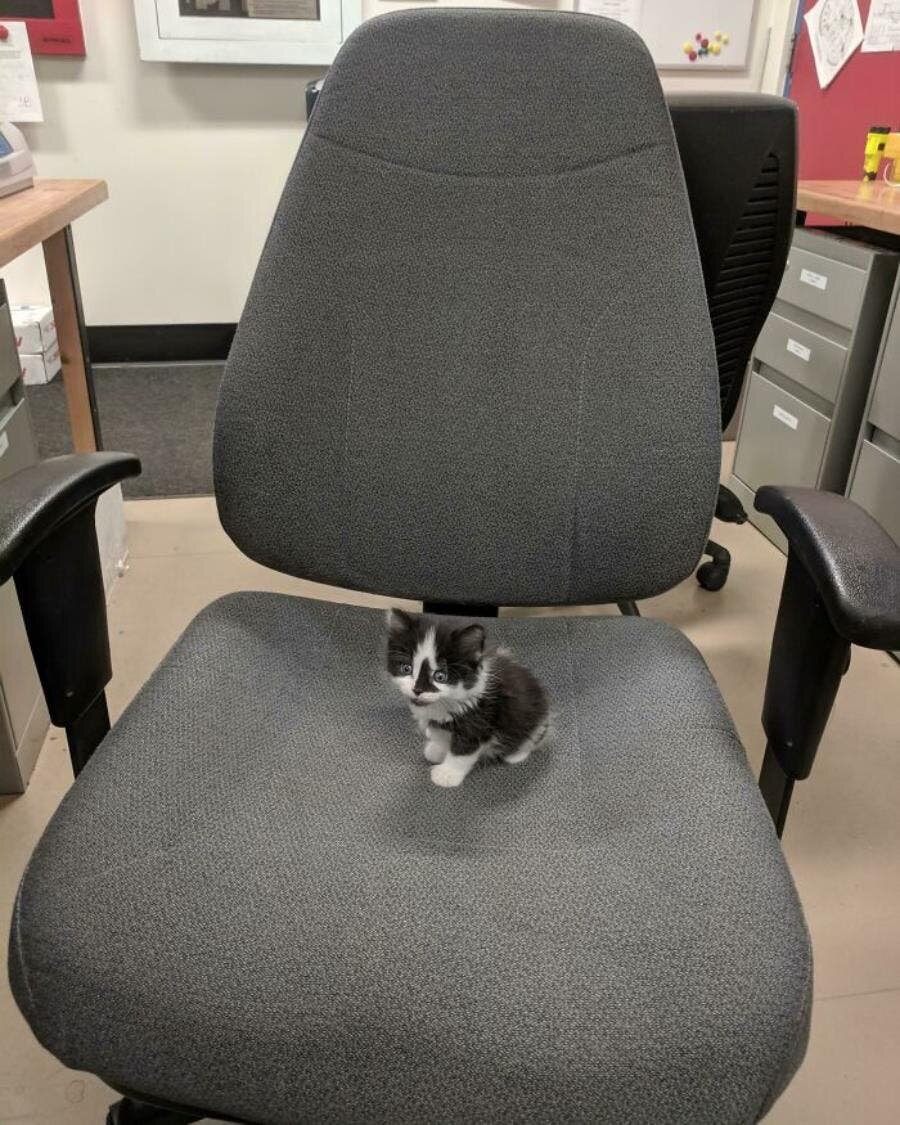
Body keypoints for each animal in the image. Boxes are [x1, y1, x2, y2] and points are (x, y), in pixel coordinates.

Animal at [387, 612, 549, 787]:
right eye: (406, 668)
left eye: (440, 676)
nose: (417, 690)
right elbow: (440, 733)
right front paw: (438, 749)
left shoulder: (479, 718)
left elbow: (463, 751)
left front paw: (447, 774)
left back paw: (515, 754)